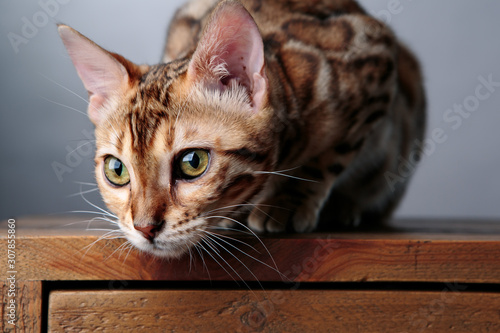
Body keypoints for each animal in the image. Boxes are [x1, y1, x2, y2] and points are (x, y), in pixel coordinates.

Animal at [58, 0, 426, 256]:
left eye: (193, 163)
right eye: (116, 170)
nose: (145, 228)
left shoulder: (377, 56)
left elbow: (326, 157)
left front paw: (287, 201)